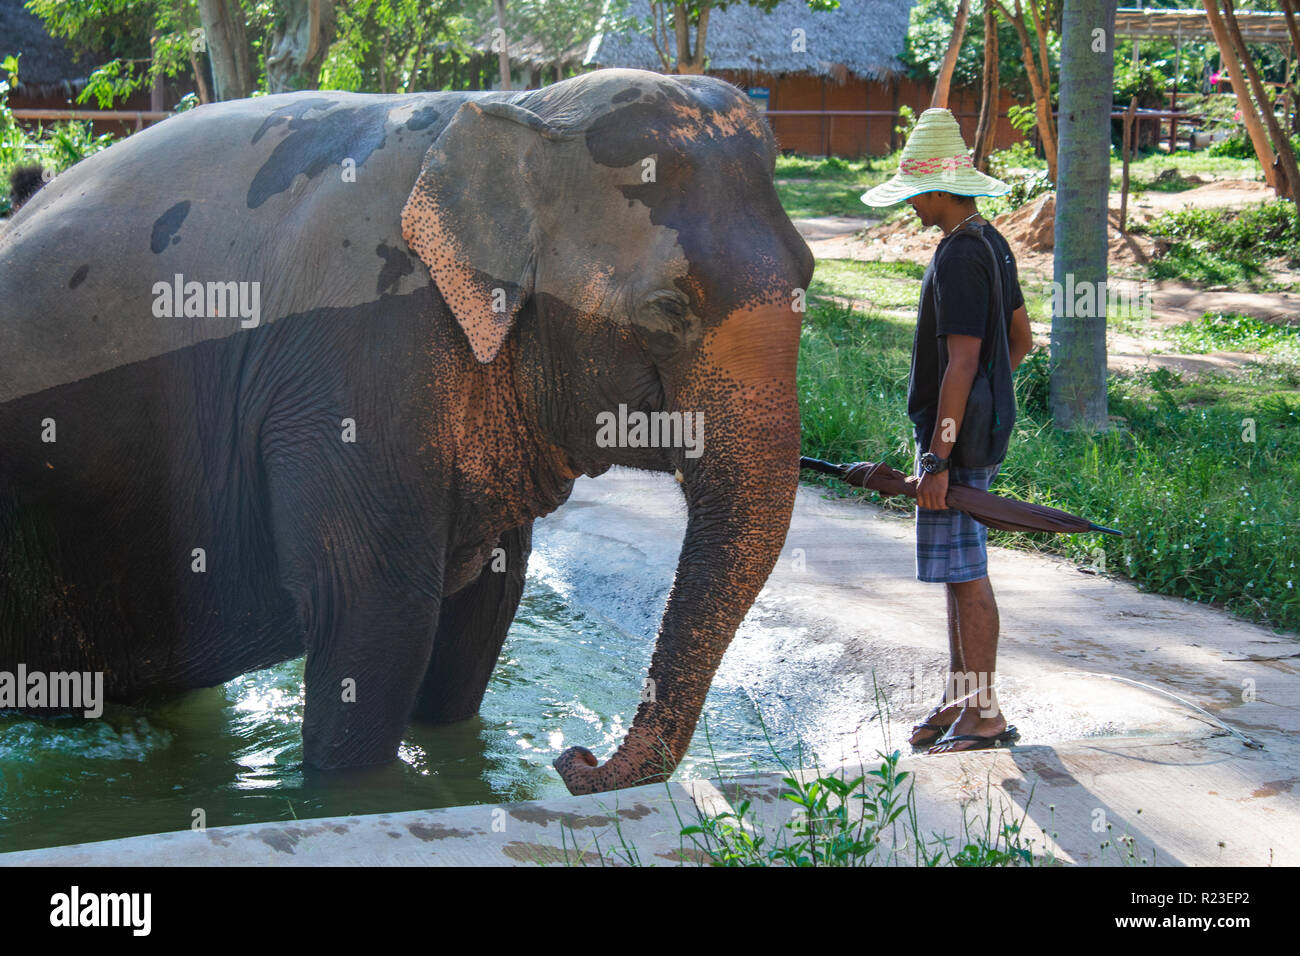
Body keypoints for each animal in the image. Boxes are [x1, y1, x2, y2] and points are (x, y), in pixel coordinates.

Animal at [0, 69, 811, 801]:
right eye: (667, 310)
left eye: (808, 273)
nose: (575, 761)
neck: (519, 109)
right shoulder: (353, 364)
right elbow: (374, 609)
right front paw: (355, 796)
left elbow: (486, 605)